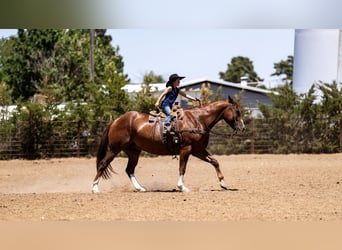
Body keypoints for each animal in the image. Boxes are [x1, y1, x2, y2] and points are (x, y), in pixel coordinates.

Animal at [92, 95, 244, 191]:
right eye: (237, 111)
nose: (242, 128)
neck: (198, 119)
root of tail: (116, 120)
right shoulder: (186, 149)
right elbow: (182, 168)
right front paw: (182, 187)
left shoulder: (198, 150)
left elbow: (215, 161)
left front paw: (223, 184)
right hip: (114, 149)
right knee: (103, 164)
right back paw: (95, 188)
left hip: (133, 151)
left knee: (129, 170)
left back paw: (140, 188)